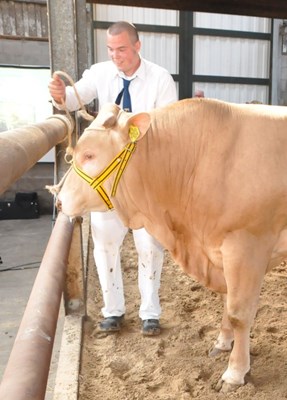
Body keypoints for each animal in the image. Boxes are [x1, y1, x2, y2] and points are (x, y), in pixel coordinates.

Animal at [50, 98, 287, 392]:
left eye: (90, 155)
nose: (59, 201)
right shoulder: (218, 251)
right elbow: (226, 299)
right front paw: (222, 343)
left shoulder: (245, 246)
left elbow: (238, 313)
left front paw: (235, 373)